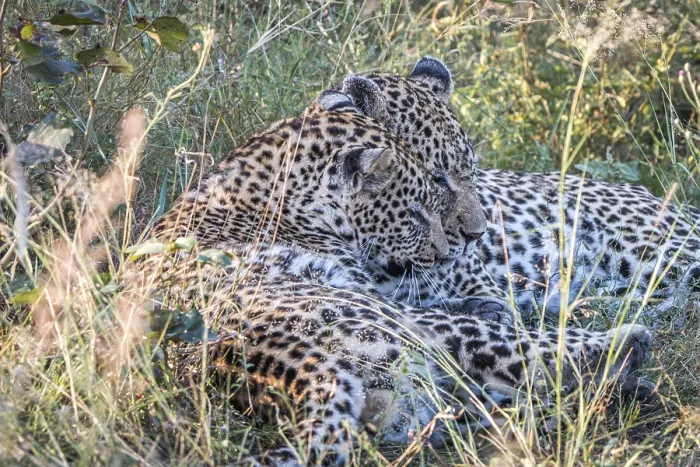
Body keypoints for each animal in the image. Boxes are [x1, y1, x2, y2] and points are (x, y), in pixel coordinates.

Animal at [129, 88, 654, 466]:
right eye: (417, 213)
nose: (454, 246)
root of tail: (271, 360)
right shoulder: (387, 294)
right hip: (392, 324)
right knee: (531, 356)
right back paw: (628, 345)